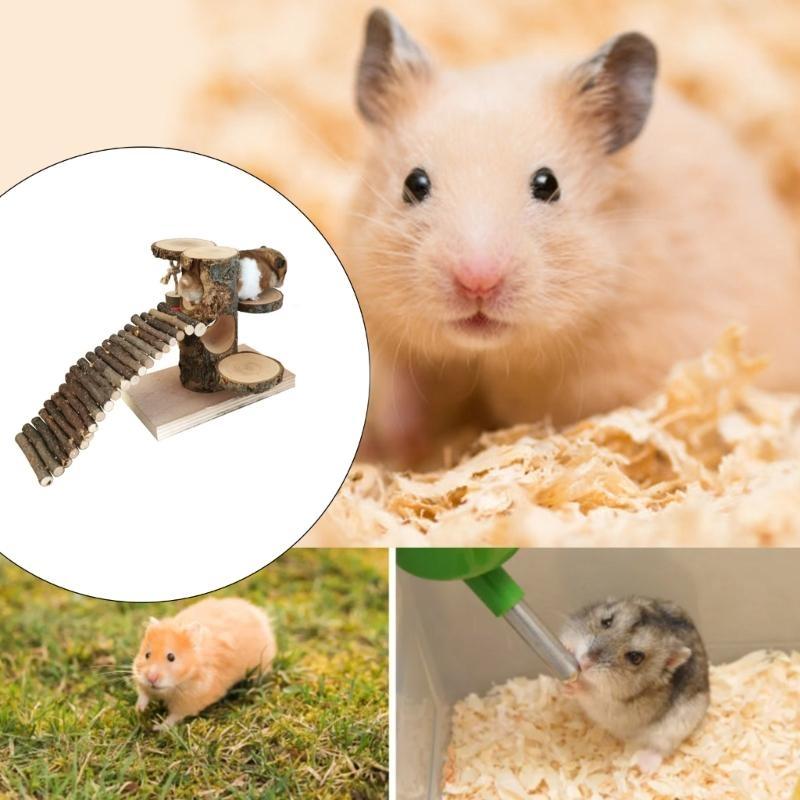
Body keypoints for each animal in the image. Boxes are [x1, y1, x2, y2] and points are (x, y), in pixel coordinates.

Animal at [132, 597, 277, 731]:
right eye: (147, 655)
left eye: (171, 657)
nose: (151, 678)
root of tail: (258, 614)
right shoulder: (142, 679)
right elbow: (143, 694)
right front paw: (139, 710)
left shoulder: (191, 700)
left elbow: (175, 716)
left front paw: (157, 727)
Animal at [348, 9, 800, 465]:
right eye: (414, 183)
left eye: (548, 184)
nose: (477, 282)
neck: (491, 354)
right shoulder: (379, 321)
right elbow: (397, 392)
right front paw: (400, 451)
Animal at [560, 596, 709, 773]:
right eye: (607, 622)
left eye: (635, 657)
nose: (583, 663)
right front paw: (568, 649)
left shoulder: (616, 709)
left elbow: (593, 696)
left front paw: (575, 686)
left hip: (673, 730)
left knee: (661, 749)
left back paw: (643, 765)